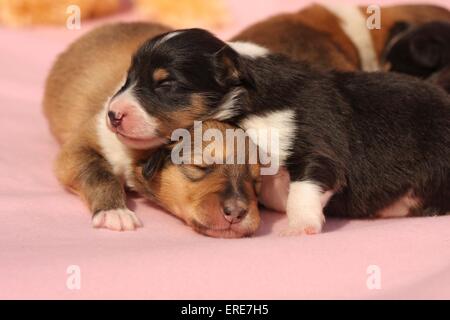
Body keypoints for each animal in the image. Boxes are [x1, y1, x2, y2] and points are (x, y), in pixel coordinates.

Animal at [43, 22, 260, 238]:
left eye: (256, 180)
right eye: (199, 166)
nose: (112, 115)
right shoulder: (80, 147)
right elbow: (99, 173)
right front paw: (115, 212)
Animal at [109, 29, 450, 235]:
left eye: (166, 84)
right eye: (128, 77)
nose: (112, 114)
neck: (248, 99)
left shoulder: (317, 148)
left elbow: (304, 189)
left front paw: (299, 228)